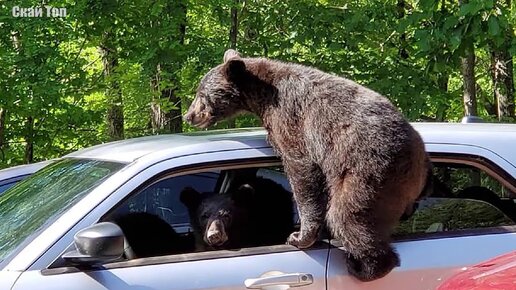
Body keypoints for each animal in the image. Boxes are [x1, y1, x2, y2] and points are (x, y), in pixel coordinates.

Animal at [183, 49, 430, 280]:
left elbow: (301, 170)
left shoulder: (292, 122)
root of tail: (420, 165)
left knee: (348, 215)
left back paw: (364, 266)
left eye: (201, 94)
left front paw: (299, 236)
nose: (189, 115)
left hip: (368, 171)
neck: (261, 96)